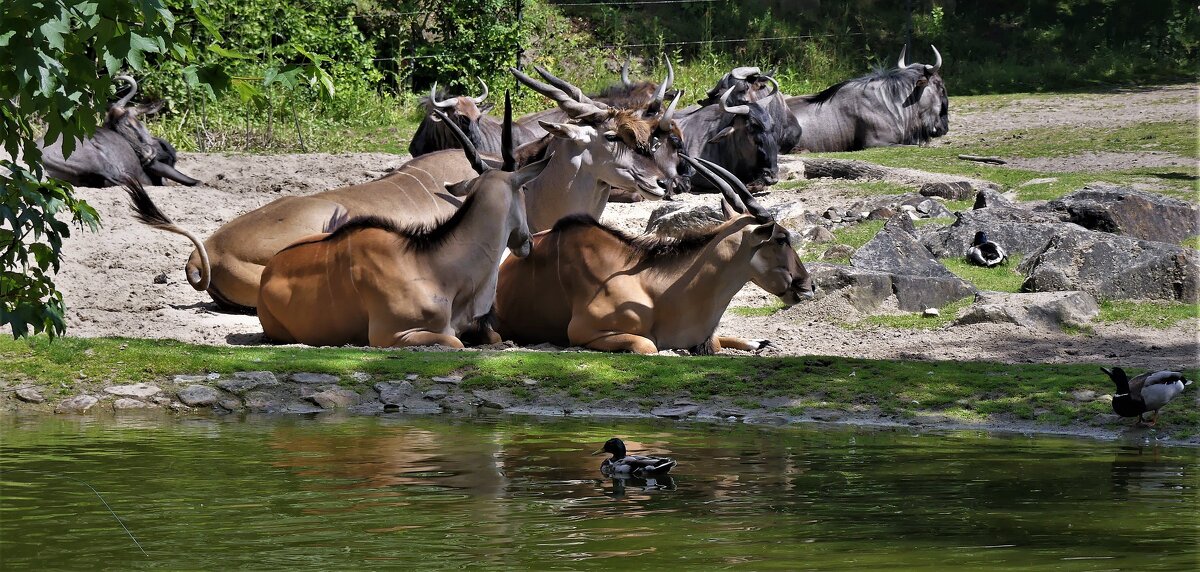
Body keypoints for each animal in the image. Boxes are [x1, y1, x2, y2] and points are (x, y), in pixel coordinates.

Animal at [260, 100, 549, 345]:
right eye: (524, 190)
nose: (527, 241)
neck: (434, 265)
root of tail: (268, 271)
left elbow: (495, 337)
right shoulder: (392, 335)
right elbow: (454, 341)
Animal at [494, 155, 816, 352]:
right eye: (782, 239)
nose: (808, 285)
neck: (654, 289)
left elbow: (715, 342)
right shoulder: (584, 332)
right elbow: (649, 345)